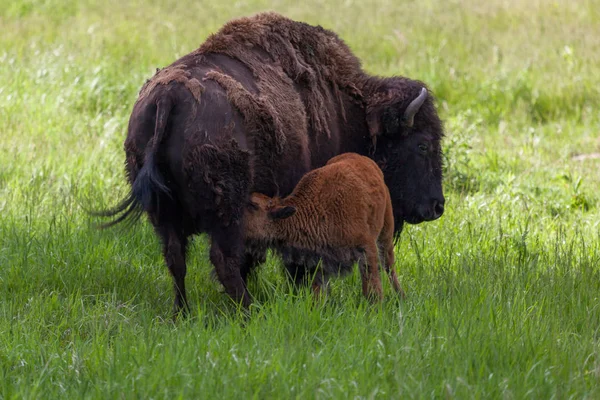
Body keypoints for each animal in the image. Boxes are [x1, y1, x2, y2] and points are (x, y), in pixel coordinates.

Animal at [246, 153, 406, 300]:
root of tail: (367, 161)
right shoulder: (318, 263)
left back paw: (401, 296)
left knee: (389, 265)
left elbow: (371, 284)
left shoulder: (366, 247)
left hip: (386, 231)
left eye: (254, 205)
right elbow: (318, 291)